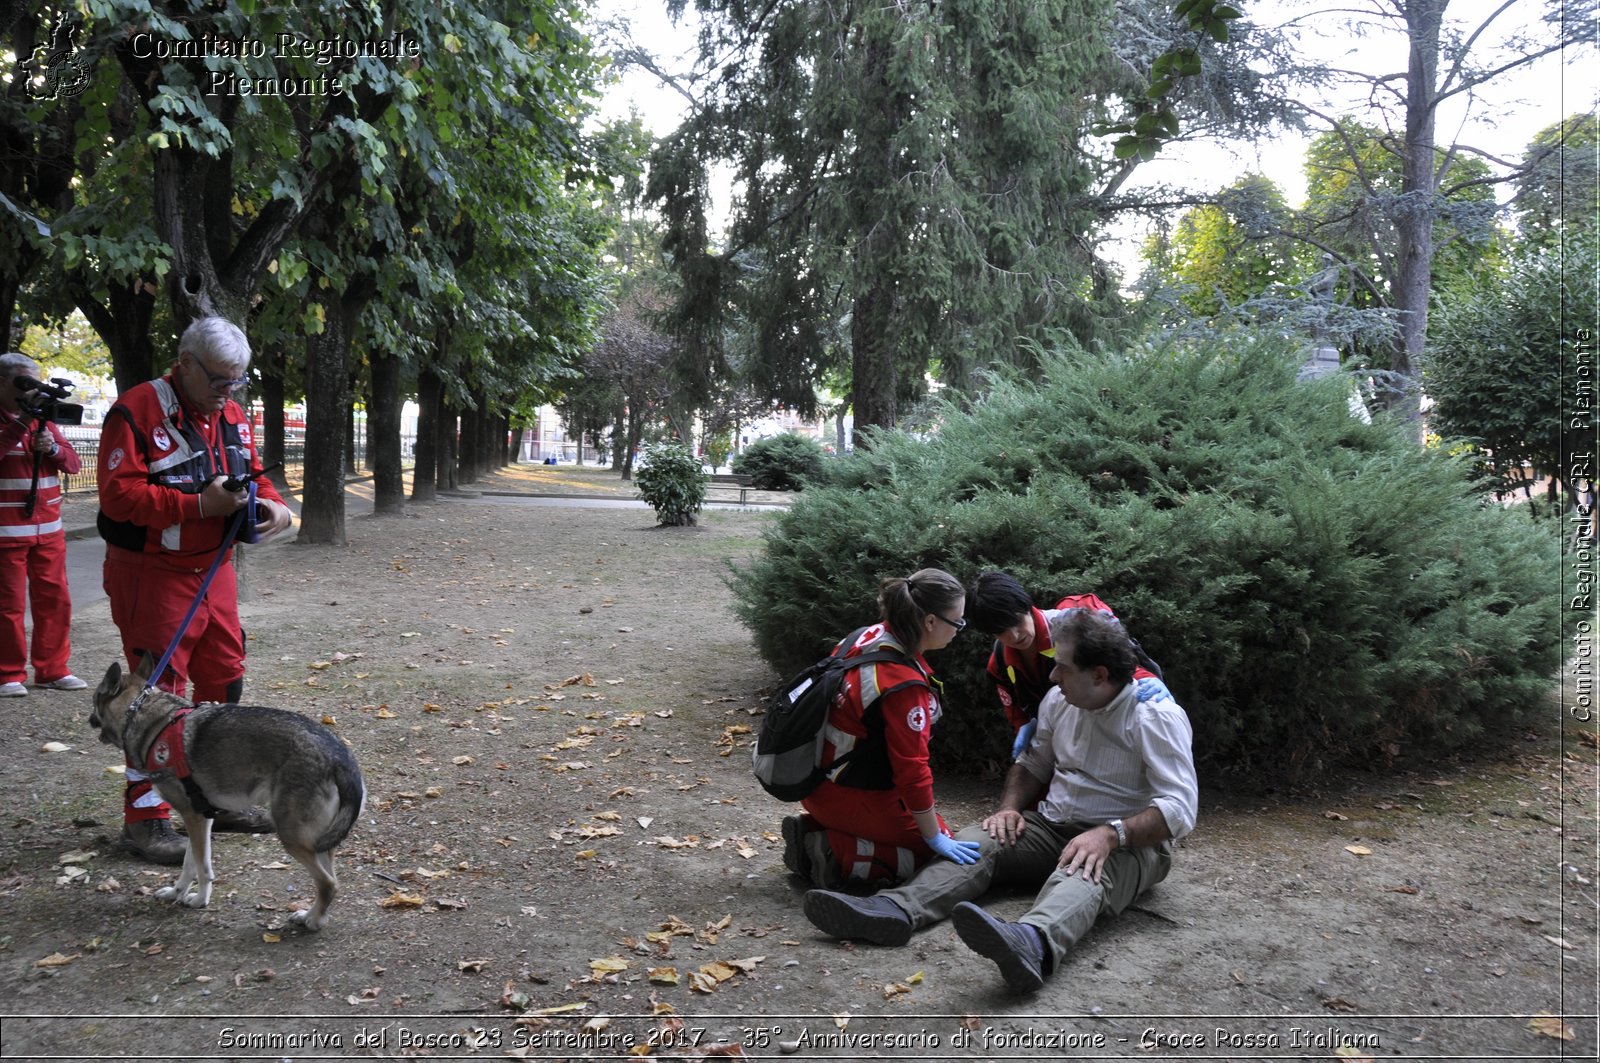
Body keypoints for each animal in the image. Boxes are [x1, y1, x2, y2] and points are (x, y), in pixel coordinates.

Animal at [90, 656, 366, 928]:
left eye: (95, 698)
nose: (89, 719)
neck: (142, 714)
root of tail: (339, 757)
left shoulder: (194, 817)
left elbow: (202, 868)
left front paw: (199, 900)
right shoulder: (201, 818)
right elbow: (189, 864)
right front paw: (176, 893)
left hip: (292, 837)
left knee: (328, 883)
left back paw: (313, 921)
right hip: (320, 842)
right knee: (330, 881)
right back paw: (312, 916)